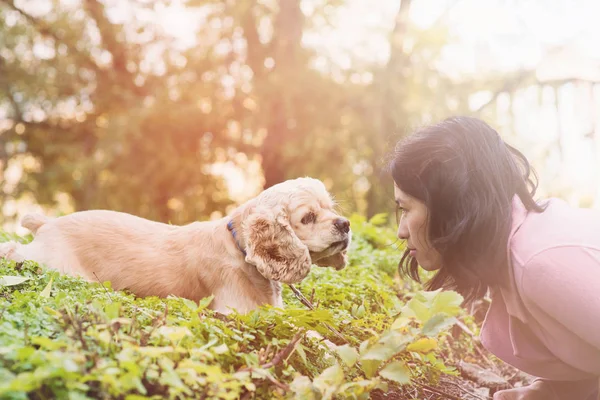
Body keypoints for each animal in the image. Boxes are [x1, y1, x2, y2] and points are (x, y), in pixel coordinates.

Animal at [0, 177, 350, 312]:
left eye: (331, 208)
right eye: (307, 217)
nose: (345, 224)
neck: (239, 248)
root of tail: (48, 223)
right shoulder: (236, 312)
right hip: (57, 266)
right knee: (15, 251)